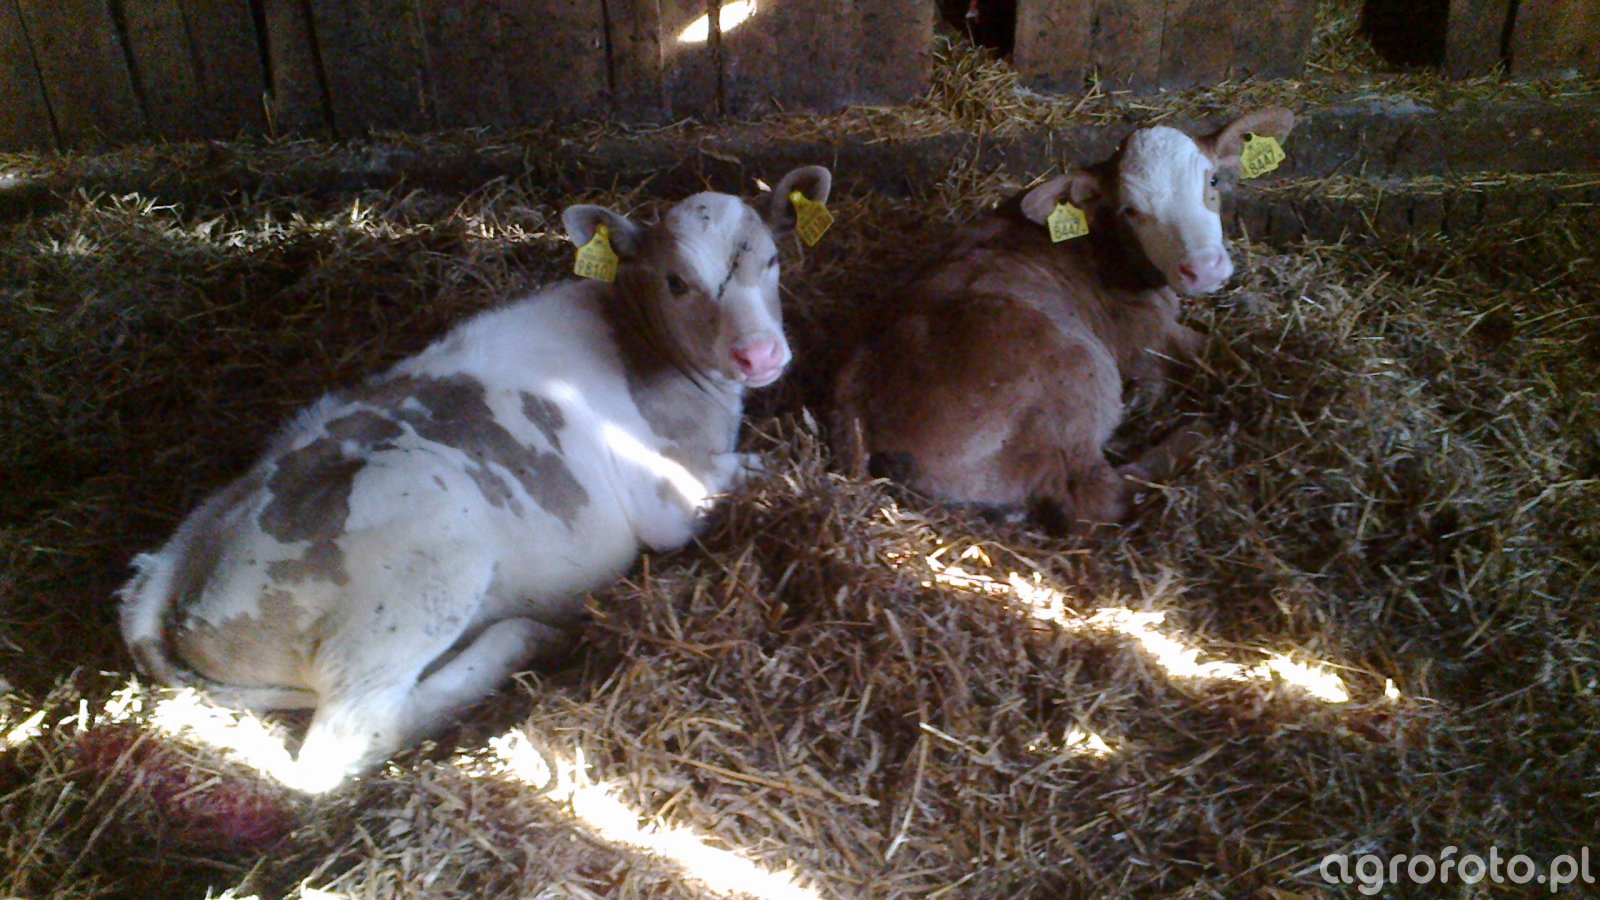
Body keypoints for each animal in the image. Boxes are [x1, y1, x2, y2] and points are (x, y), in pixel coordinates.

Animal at [119, 166, 832, 793]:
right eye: (678, 281)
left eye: (773, 260)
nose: (759, 354)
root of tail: (173, 570)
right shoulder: (670, 500)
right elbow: (782, 462)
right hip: (424, 545)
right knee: (346, 741)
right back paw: (522, 641)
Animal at [833, 109, 1295, 529]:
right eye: (1130, 210)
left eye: (1213, 181)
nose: (1203, 268)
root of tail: (853, 400)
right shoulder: (1148, 335)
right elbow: (1228, 350)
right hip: (1075, 371)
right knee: (1097, 497)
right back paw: (1194, 436)